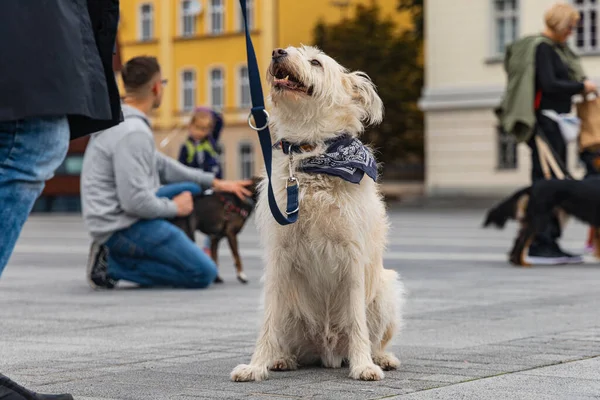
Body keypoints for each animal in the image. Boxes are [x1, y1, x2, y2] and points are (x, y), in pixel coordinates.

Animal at [232, 45, 406, 382]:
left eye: (316, 62)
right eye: (288, 50)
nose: (277, 52)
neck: (313, 155)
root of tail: (328, 352)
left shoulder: (352, 255)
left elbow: (356, 321)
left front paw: (363, 365)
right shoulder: (279, 257)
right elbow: (267, 324)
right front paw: (256, 366)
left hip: (386, 290)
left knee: (375, 336)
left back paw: (381, 358)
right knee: (284, 336)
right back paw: (281, 359)